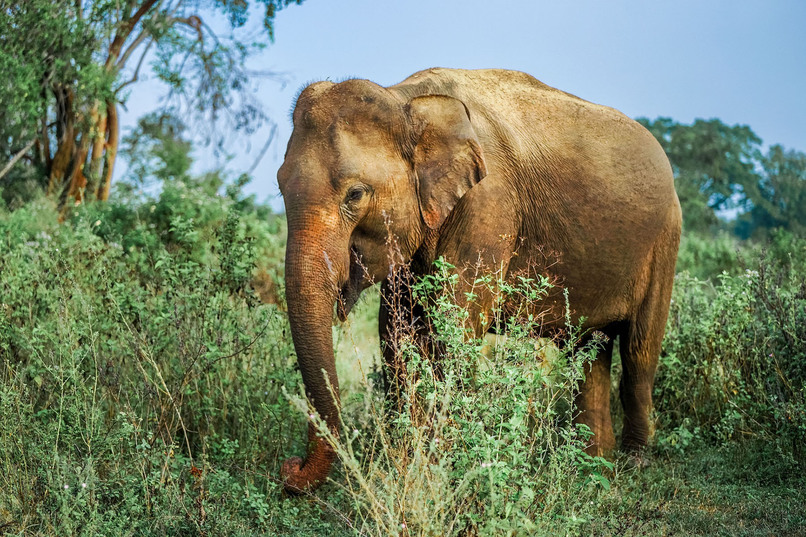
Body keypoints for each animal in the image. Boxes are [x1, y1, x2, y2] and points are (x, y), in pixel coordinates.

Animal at [278, 67, 680, 490]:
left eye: (355, 194)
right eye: (279, 186)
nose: (291, 468)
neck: (406, 101)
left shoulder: (489, 207)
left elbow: (454, 330)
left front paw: (436, 472)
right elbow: (395, 333)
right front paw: (408, 468)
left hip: (665, 240)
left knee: (639, 353)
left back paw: (633, 466)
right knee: (589, 350)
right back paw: (593, 468)